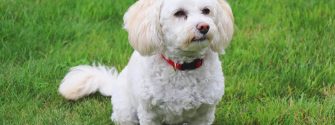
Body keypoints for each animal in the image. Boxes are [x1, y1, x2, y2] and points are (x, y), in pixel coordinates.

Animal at [58, 0, 234, 124]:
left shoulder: (204, 114)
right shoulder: (150, 114)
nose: (204, 26)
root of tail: (114, 85)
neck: (183, 67)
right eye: (179, 13)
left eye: (206, 11)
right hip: (126, 112)